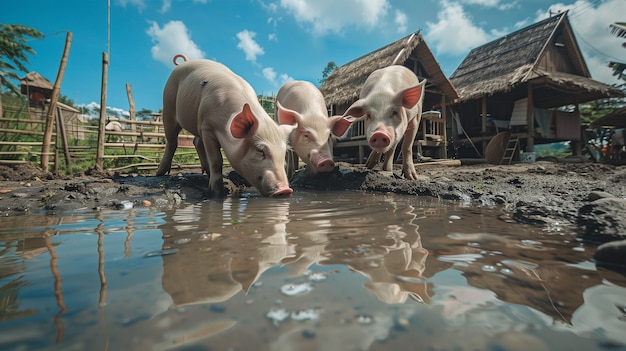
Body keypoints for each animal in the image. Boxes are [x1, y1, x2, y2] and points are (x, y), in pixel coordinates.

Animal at [155, 56, 294, 197]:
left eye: (284, 152)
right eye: (260, 150)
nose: (285, 190)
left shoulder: (204, 126)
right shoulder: (207, 127)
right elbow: (217, 159)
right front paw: (216, 192)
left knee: (196, 141)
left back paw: (205, 172)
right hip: (168, 105)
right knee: (172, 141)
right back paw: (159, 173)